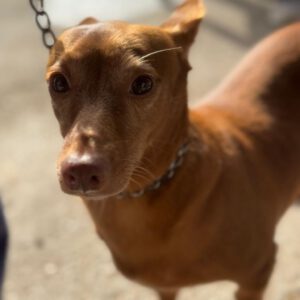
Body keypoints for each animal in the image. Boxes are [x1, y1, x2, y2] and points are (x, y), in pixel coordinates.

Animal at [45, 0, 300, 300]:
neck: (143, 196)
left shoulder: (257, 273)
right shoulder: (164, 287)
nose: (81, 171)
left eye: (143, 84)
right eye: (58, 83)